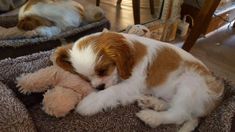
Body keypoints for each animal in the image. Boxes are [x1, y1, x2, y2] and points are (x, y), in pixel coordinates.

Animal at [53, 30, 224, 131]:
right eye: (84, 77)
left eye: (103, 70)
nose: (99, 86)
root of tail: (213, 104)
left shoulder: (131, 84)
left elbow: (112, 91)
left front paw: (89, 103)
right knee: (175, 107)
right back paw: (153, 103)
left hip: (191, 83)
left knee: (180, 114)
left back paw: (152, 117)